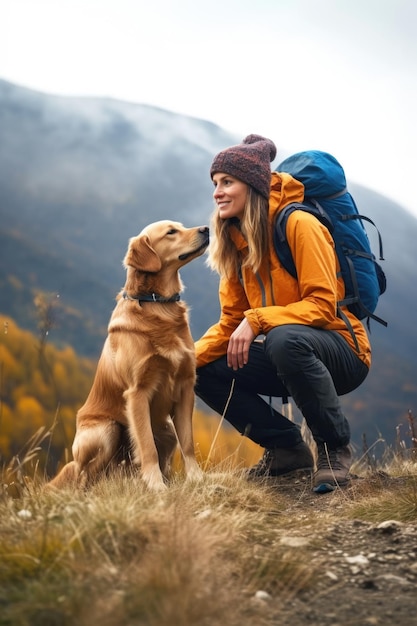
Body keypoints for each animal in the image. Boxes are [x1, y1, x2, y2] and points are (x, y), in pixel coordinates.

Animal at [49, 222, 210, 490]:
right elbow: (146, 446)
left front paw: (197, 479)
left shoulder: (186, 387)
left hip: (166, 430)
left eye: (181, 226)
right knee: (84, 476)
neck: (158, 304)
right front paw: (156, 487)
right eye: (171, 232)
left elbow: (187, 442)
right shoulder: (137, 393)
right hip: (106, 430)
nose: (207, 229)